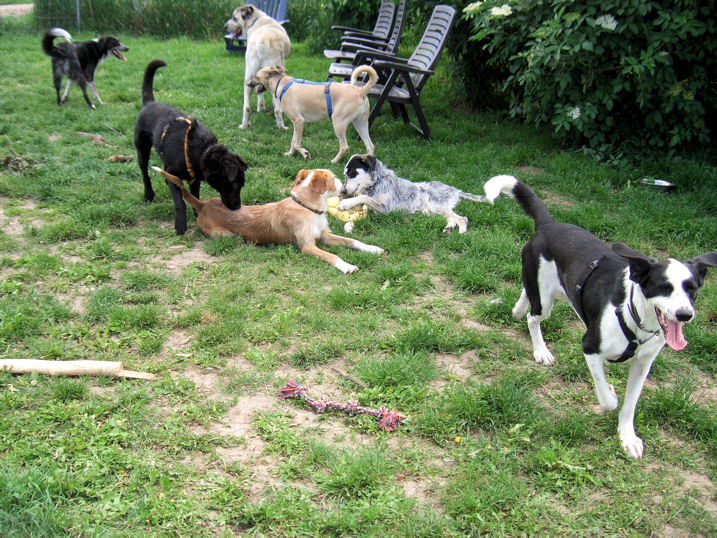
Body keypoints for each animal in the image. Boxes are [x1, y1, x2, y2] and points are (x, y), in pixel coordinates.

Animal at [134, 60, 247, 235]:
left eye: (242, 185)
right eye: (233, 185)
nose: (238, 207)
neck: (203, 150)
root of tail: (149, 103)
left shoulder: (195, 180)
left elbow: (195, 196)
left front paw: (198, 213)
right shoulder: (174, 173)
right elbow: (179, 202)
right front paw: (181, 224)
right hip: (142, 148)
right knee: (145, 171)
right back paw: (149, 194)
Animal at [152, 167, 384, 274]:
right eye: (334, 178)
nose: (344, 189)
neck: (306, 207)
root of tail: (204, 205)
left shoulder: (325, 236)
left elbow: (353, 241)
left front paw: (372, 248)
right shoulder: (307, 246)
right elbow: (333, 255)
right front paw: (346, 266)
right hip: (226, 235)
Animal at [249, 66, 378, 164]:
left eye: (256, 76)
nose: (247, 84)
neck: (282, 84)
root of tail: (360, 91)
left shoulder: (299, 121)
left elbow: (296, 143)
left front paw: (305, 154)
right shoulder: (296, 124)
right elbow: (293, 141)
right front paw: (290, 154)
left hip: (338, 122)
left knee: (344, 147)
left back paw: (334, 161)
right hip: (360, 123)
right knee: (370, 146)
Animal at [339, 154, 488, 233]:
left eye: (352, 172)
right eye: (345, 174)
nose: (343, 192)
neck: (375, 184)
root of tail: (455, 189)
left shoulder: (384, 208)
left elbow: (364, 198)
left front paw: (345, 203)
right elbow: (360, 209)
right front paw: (349, 224)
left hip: (435, 205)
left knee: (462, 218)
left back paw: (461, 232)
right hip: (436, 209)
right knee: (452, 218)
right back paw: (448, 228)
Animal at [484, 174, 717, 458]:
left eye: (692, 288)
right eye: (664, 287)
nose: (685, 315)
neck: (636, 320)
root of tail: (549, 225)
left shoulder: (644, 363)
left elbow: (630, 405)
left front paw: (627, 437)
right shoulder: (590, 348)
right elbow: (607, 400)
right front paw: (612, 393)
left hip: (549, 287)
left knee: (527, 292)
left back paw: (517, 309)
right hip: (547, 299)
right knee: (533, 317)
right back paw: (541, 350)